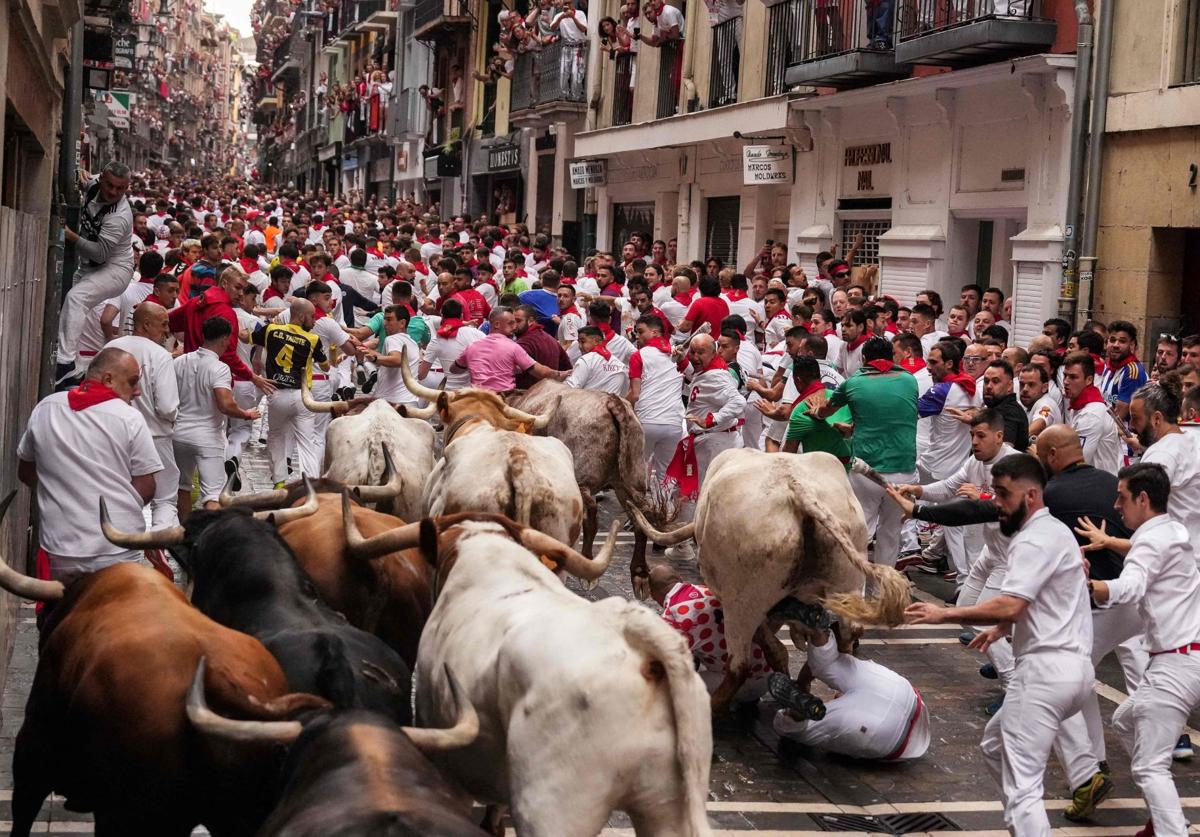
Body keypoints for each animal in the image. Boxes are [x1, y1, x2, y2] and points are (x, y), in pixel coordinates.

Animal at [628, 450, 907, 709]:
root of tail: (798, 489)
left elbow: (770, 646)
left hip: (742, 604)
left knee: (739, 665)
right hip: (847, 581)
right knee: (846, 638)